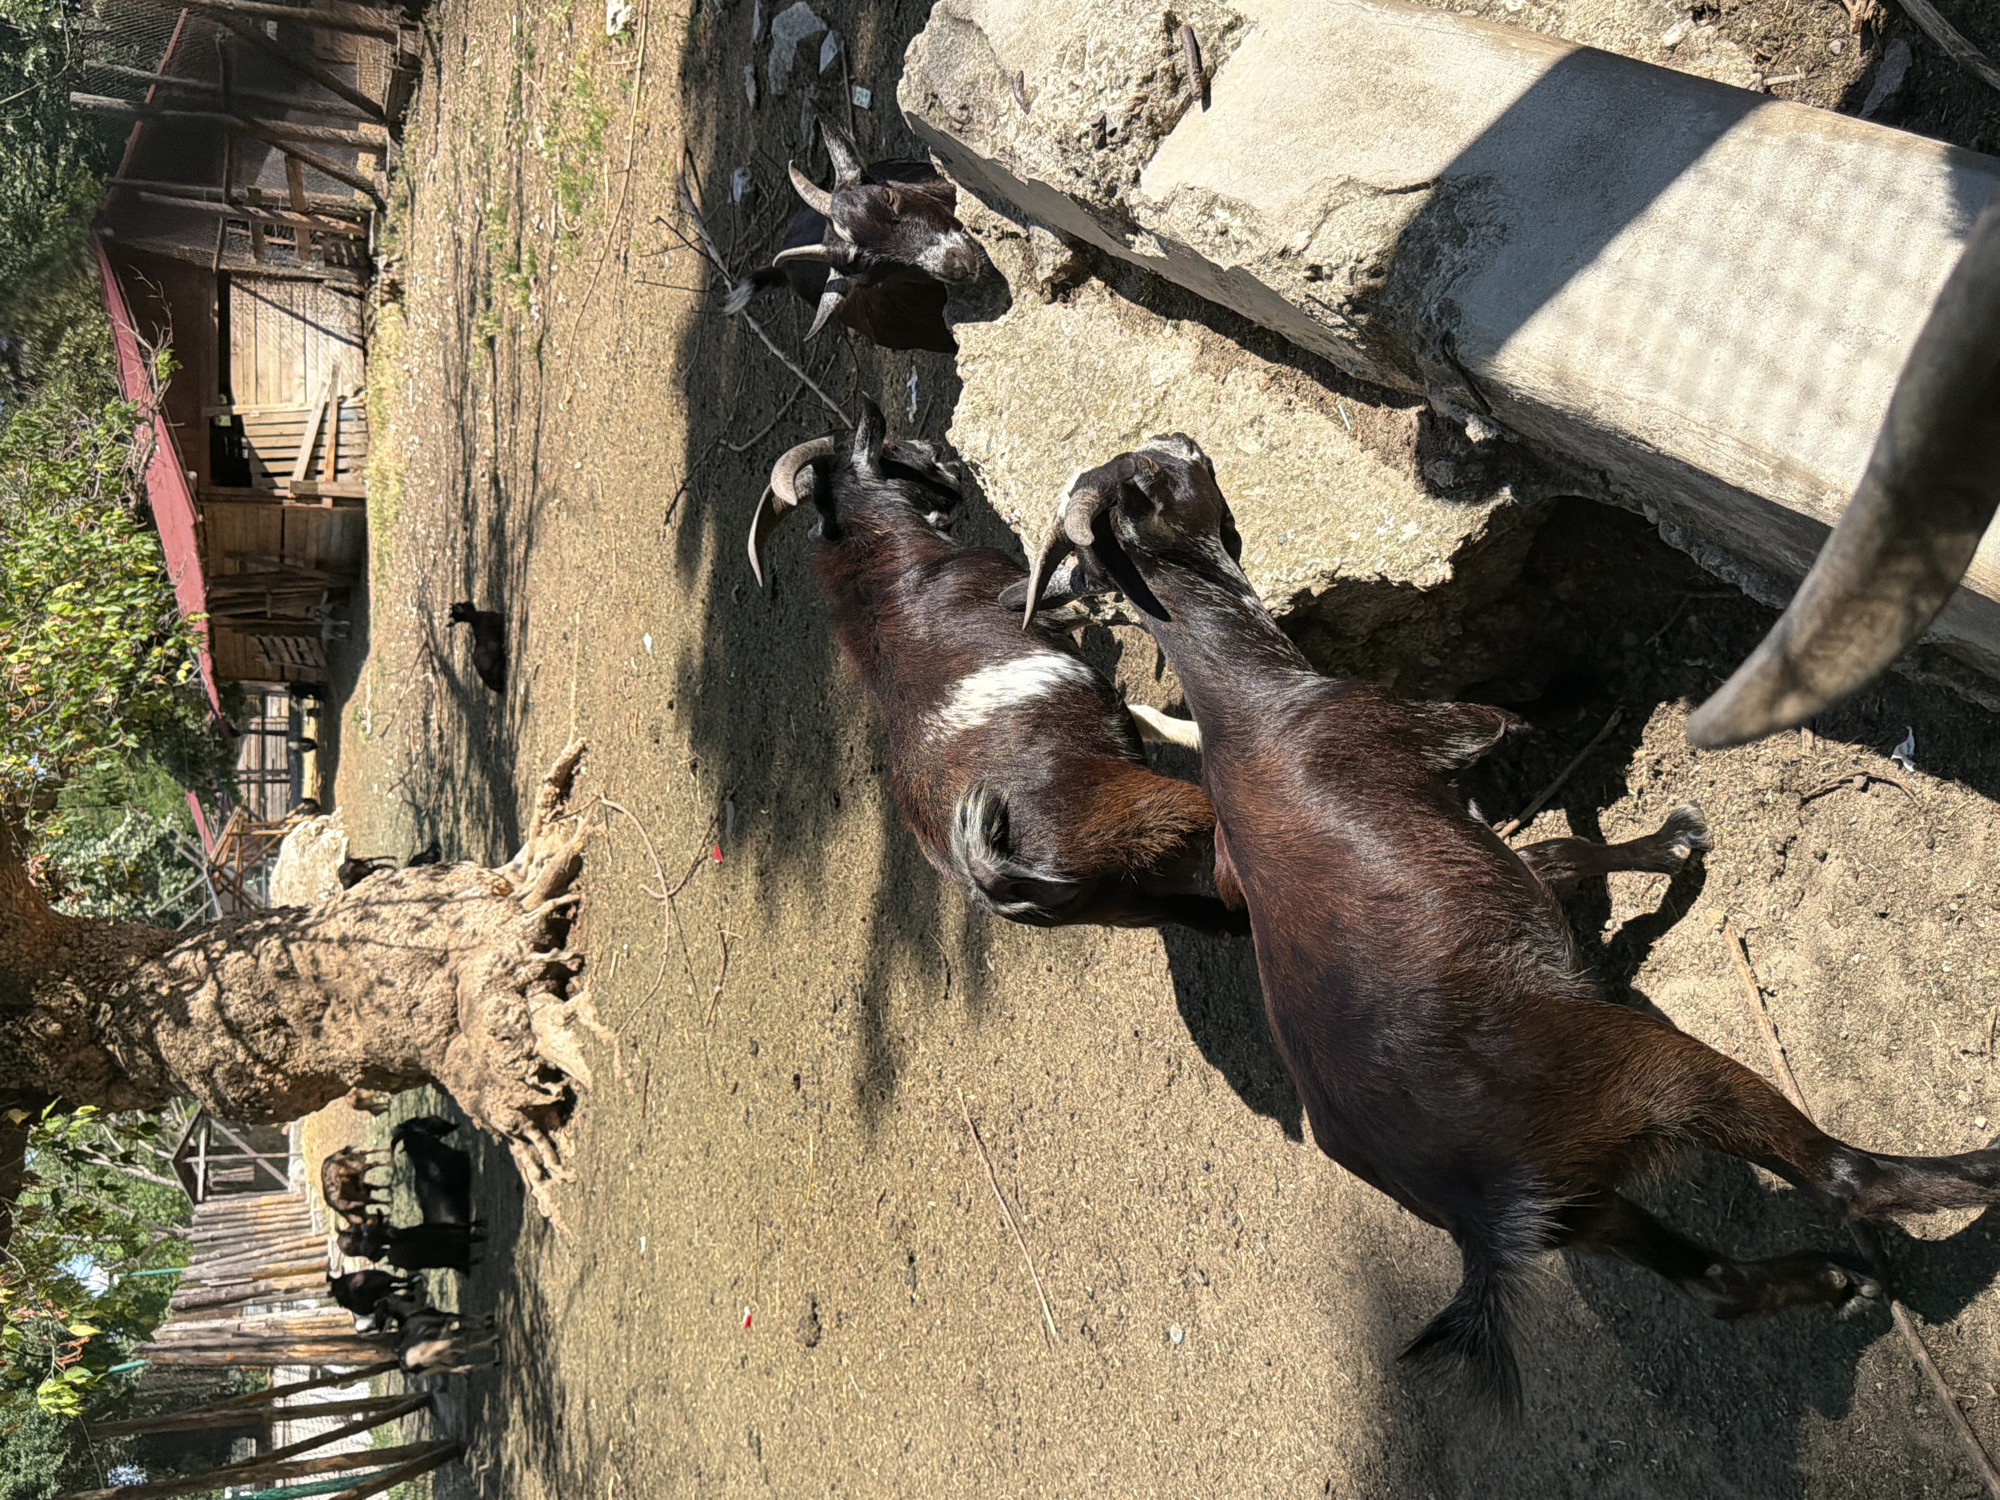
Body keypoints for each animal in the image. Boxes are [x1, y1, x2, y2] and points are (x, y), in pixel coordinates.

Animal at [748, 398, 1243, 934]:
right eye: (892, 450)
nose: (937, 454)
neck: (884, 568)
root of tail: (996, 876)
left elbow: (1139, 713)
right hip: (1165, 821)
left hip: (1133, 904)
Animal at [1024, 433, 2000, 1408]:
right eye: (1155, 475)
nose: (1188, 442)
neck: (1249, 699)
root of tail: (1482, 1213)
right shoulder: (1451, 728)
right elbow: (1537, 770)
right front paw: (1666, 827)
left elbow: (1555, 856)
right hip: (1650, 1078)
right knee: (1847, 1176)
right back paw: (1975, 1171)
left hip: (1586, 1207)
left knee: (1715, 1284)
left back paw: (1836, 1283)